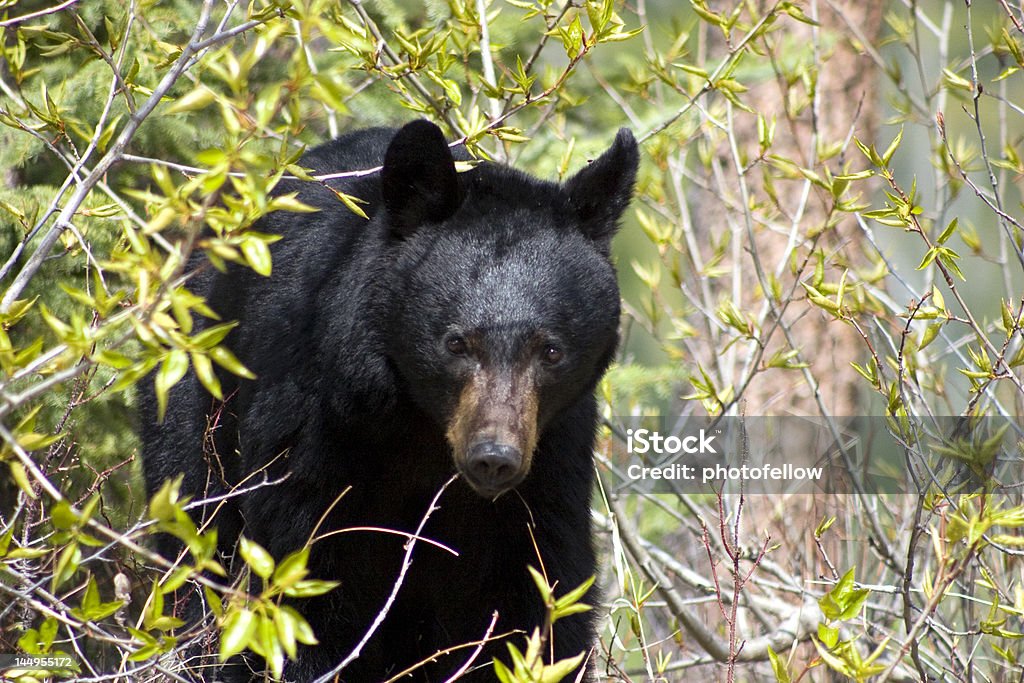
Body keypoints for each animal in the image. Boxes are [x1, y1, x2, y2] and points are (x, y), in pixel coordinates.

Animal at [142, 120, 638, 679]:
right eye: (456, 343)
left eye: (551, 350)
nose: (494, 458)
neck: (420, 429)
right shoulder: (315, 428)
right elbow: (302, 580)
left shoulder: (552, 462)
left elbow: (539, 595)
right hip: (194, 391)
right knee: (196, 537)